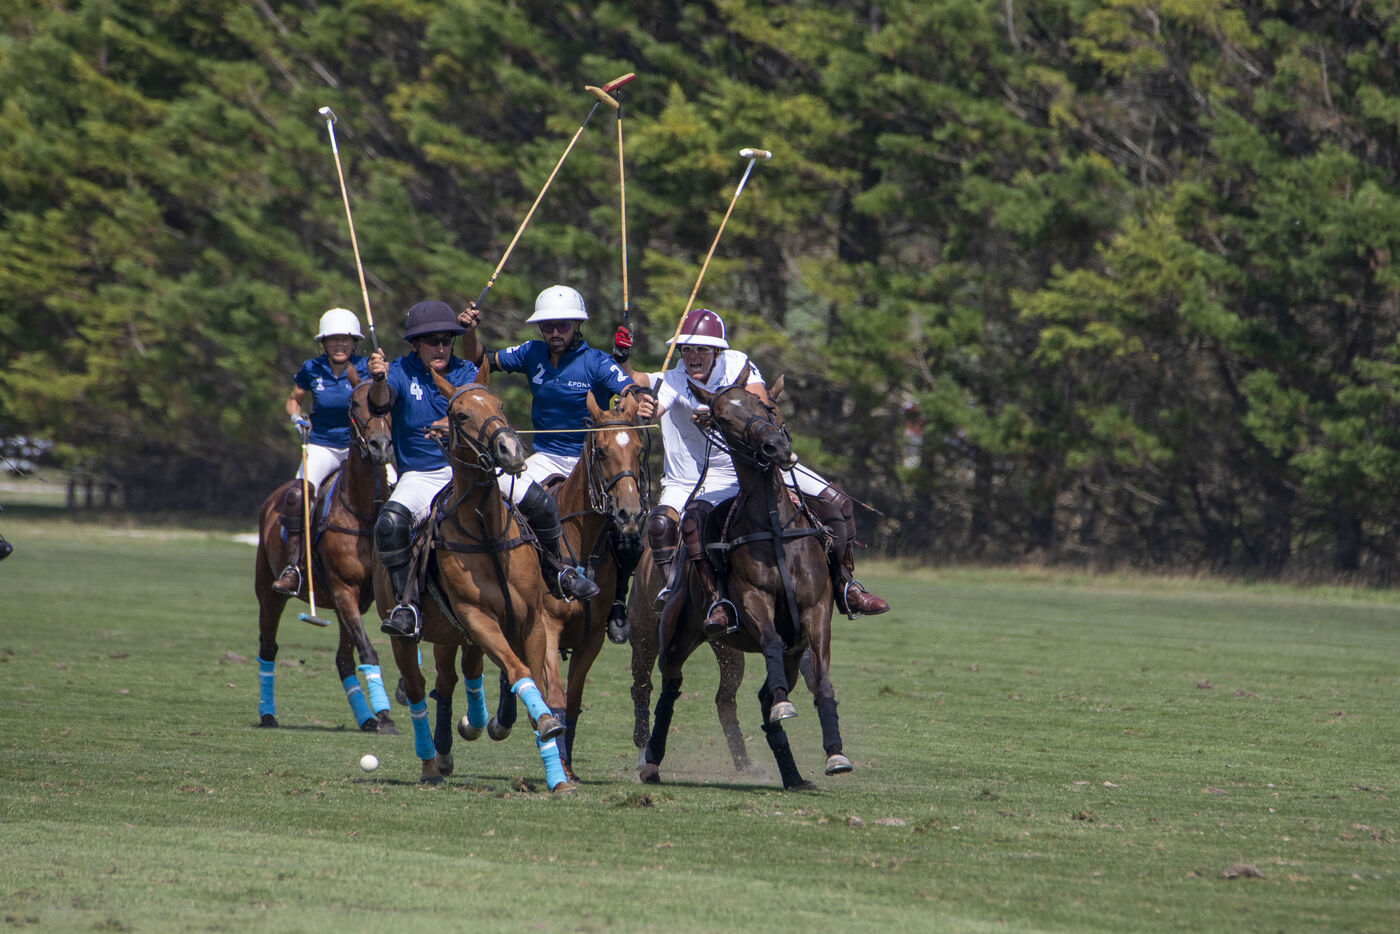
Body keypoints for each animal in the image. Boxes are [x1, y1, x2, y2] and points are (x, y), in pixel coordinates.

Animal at [254, 372, 398, 734]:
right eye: (355, 403)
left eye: (391, 401)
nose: (380, 446)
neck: (364, 514)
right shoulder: (344, 589)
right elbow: (369, 651)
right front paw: (386, 715)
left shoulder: (368, 598)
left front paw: (384, 713)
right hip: (267, 591)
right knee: (268, 647)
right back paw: (267, 714)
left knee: (342, 659)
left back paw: (366, 718)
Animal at [376, 363, 573, 790]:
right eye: (461, 415)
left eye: (499, 404)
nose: (511, 450)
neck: (486, 531)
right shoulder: (476, 616)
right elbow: (518, 671)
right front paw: (544, 725)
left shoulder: (530, 620)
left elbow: (529, 677)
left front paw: (557, 775)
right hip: (411, 634)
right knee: (418, 689)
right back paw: (431, 764)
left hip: (453, 635)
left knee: (455, 679)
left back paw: (462, 736)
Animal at [639, 370, 850, 789]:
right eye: (723, 419)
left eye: (766, 405)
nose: (775, 447)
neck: (773, 524)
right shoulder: (754, 601)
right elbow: (769, 640)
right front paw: (787, 706)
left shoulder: (816, 611)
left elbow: (822, 680)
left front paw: (835, 753)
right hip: (675, 634)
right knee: (670, 687)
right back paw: (651, 761)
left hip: (789, 652)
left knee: (764, 695)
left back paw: (793, 775)